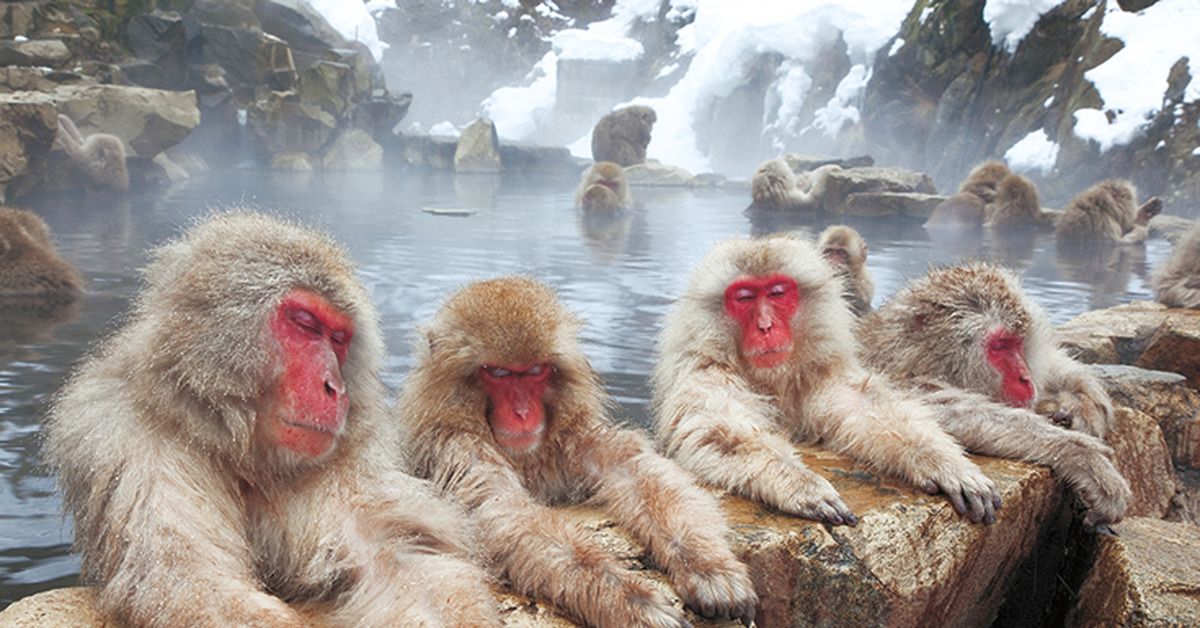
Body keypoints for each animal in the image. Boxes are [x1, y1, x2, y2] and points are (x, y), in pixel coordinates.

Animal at [43, 213, 501, 624]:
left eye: (338, 338)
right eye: (306, 325)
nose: (335, 387)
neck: (240, 449)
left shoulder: (342, 460)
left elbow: (401, 560)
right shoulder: (123, 435)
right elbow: (184, 582)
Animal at [403, 277, 758, 628]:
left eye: (535, 371)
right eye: (499, 373)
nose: (522, 412)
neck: (526, 457)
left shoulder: (575, 439)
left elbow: (640, 472)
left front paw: (708, 567)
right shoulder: (458, 448)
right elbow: (499, 512)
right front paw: (631, 600)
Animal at [859, 260, 1128, 525]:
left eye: (1018, 342)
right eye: (1000, 346)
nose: (1025, 378)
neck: (916, 359)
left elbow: (1051, 365)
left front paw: (1085, 407)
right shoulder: (900, 378)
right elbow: (931, 411)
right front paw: (1081, 455)